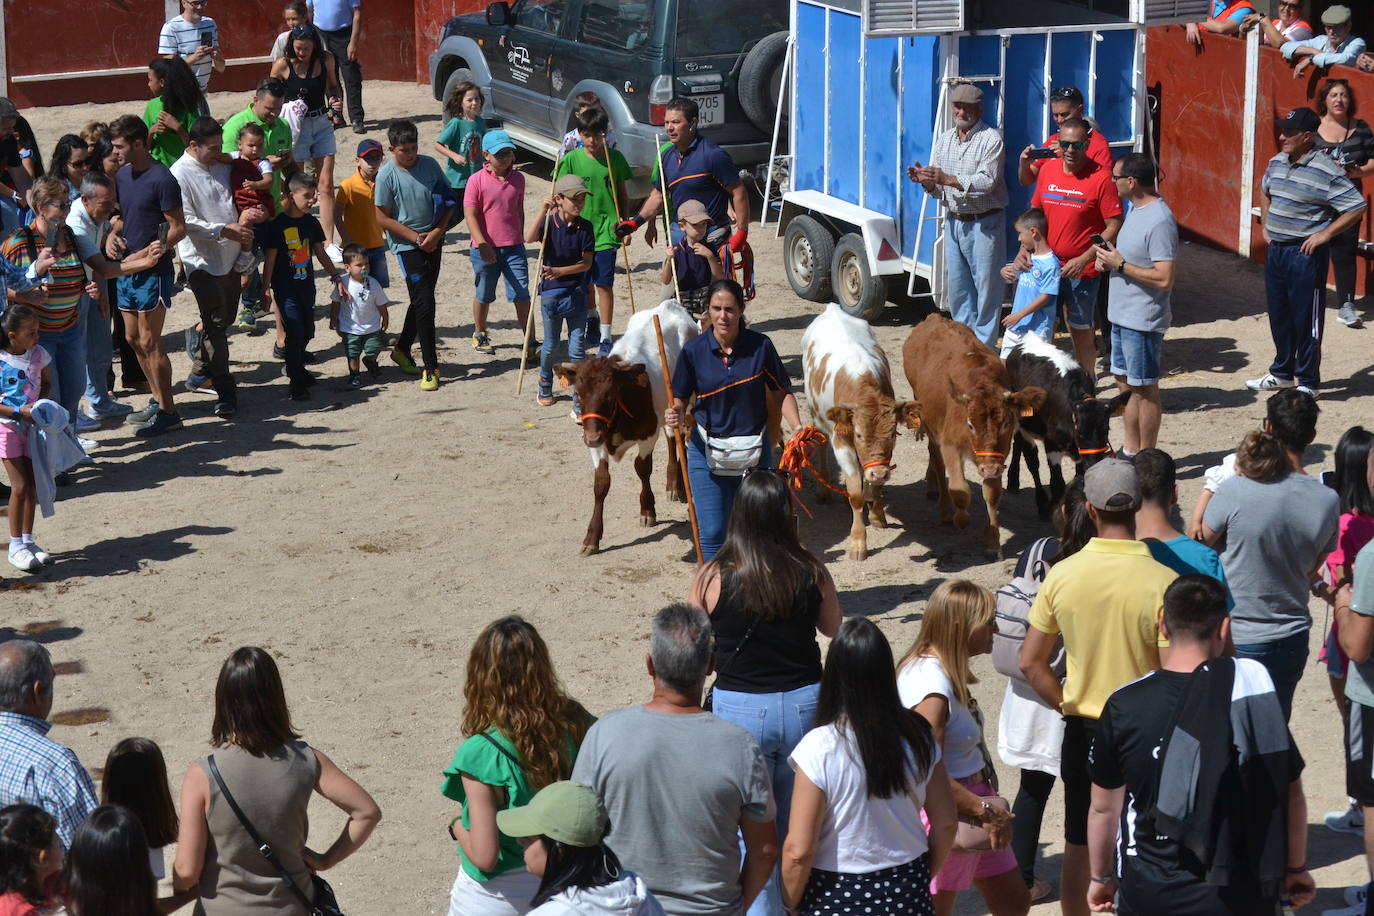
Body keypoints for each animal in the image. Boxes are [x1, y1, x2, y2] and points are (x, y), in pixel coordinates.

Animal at [552, 304, 697, 554]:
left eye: (610, 395)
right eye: (578, 394)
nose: (591, 437)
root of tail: (670, 305)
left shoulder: (648, 433)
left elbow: (642, 468)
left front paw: (647, 510)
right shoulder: (596, 441)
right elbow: (601, 483)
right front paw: (592, 537)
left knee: (676, 438)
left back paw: (676, 485)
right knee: (671, 437)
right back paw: (672, 483)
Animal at [802, 304, 917, 560]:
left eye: (893, 434)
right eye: (859, 435)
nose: (879, 473)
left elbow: (874, 487)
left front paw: (876, 514)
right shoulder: (841, 441)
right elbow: (855, 494)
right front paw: (857, 542)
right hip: (817, 416)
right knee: (821, 444)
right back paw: (824, 489)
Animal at [906, 315, 1044, 554]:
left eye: (1006, 423)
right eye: (970, 425)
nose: (988, 468)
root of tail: (935, 318)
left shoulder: (998, 455)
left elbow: (992, 494)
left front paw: (992, 540)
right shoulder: (950, 445)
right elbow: (960, 489)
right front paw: (961, 519)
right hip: (929, 423)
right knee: (936, 459)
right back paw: (944, 507)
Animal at [1005, 335, 1132, 516]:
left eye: (1105, 430)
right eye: (1080, 432)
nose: (1094, 462)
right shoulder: (1052, 444)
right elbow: (1057, 485)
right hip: (1022, 423)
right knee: (1031, 459)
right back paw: (1035, 498)